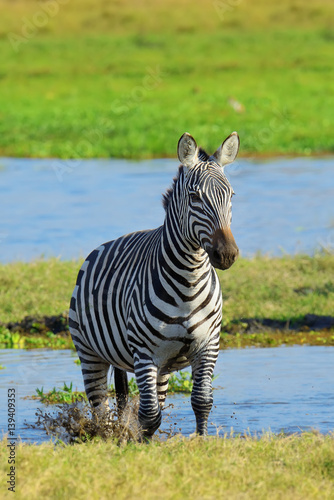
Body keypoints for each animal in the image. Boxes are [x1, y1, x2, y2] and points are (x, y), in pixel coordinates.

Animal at [68, 132, 240, 438]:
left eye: (230, 195)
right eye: (195, 197)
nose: (227, 254)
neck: (188, 282)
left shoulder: (208, 345)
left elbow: (201, 401)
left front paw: (201, 442)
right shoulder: (145, 353)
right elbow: (148, 414)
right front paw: (140, 446)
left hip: (163, 366)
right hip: (89, 353)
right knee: (101, 409)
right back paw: (105, 437)